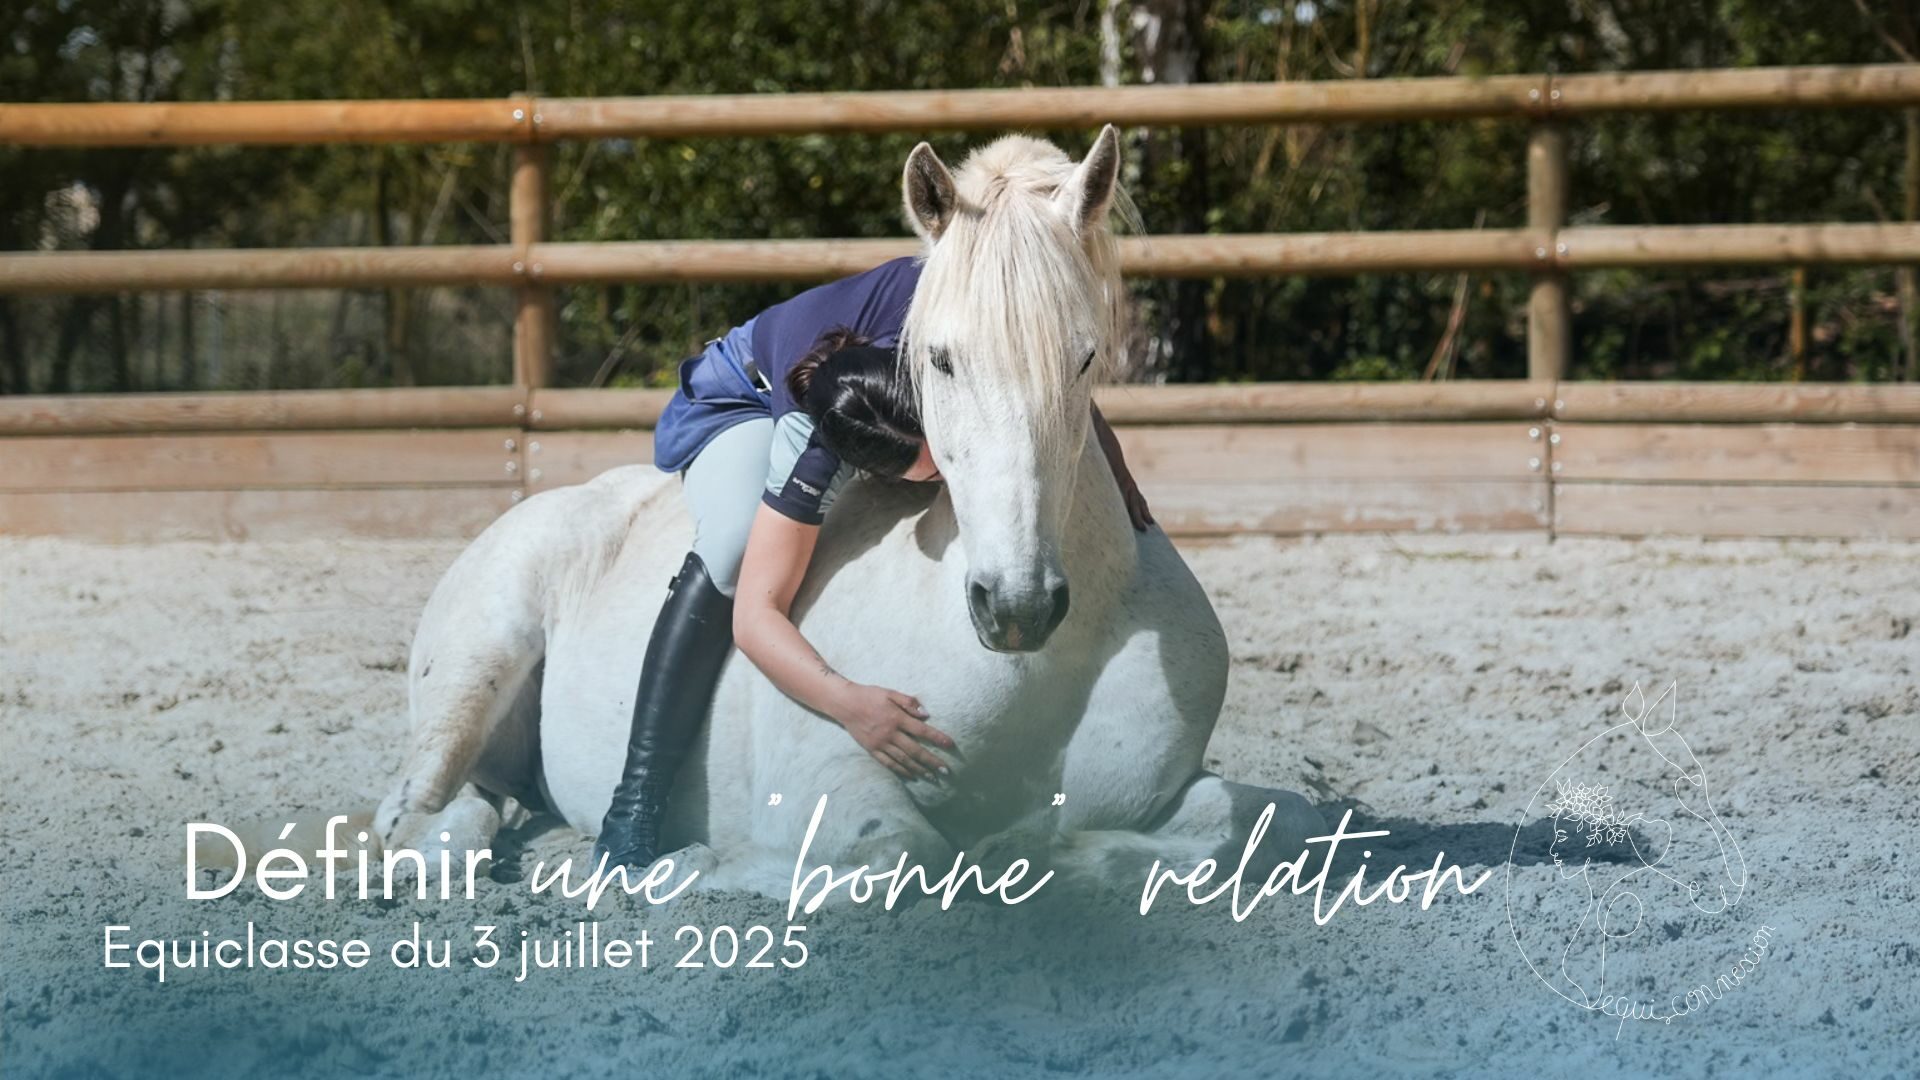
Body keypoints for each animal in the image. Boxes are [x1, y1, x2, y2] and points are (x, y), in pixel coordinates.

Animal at [370, 126, 1323, 895]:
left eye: (1084, 356)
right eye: (937, 358)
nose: (1016, 606)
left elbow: (1252, 823)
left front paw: (1041, 854)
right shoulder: (826, 777)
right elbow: (899, 855)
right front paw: (707, 866)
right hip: (479, 661)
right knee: (423, 817)